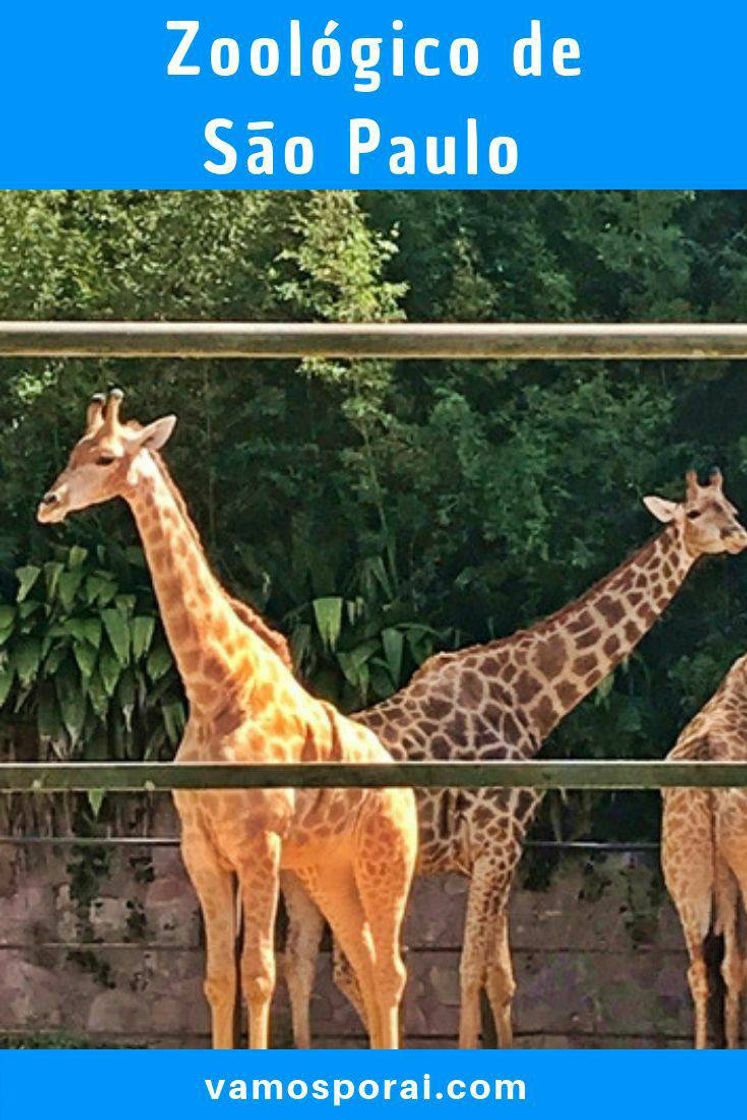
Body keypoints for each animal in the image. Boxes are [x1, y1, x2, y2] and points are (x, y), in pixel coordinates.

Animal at [38, 394, 421, 1048]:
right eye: (73, 451)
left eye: (106, 456)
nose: (49, 502)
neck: (216, 690)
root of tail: (404, 782)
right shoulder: (203, 850)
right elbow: (219, 980)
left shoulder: (259, 846)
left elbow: (259, 975)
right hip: (325, 870)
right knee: (367, 963)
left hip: (386, 859)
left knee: (389, 969)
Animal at [282, 470, 747, 1048]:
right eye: (695, 513)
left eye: (730, 507)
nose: (737, 536)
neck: (532, 696)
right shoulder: (497, 843)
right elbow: (470, 969)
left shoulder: (495, 854)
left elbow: (499, 978)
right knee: (351, 968)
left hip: (301, 879)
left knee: (299, 965)